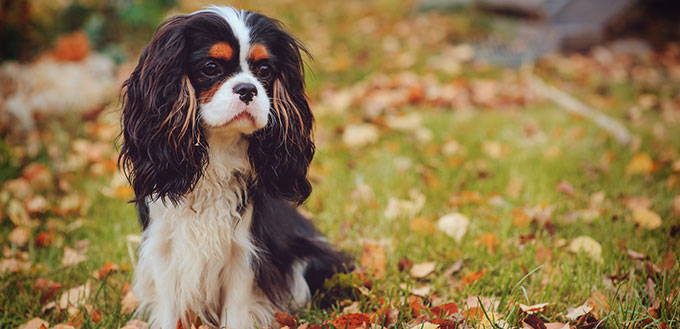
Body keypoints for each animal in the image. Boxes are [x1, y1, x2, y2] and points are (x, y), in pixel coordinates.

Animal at [117, 5, 348, 328]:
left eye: (264, 70)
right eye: (211, 68)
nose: (248, 89)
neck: (217, 152)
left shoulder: (244, 252)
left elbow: (237, 310)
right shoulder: (164, 249)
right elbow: (168, 309)